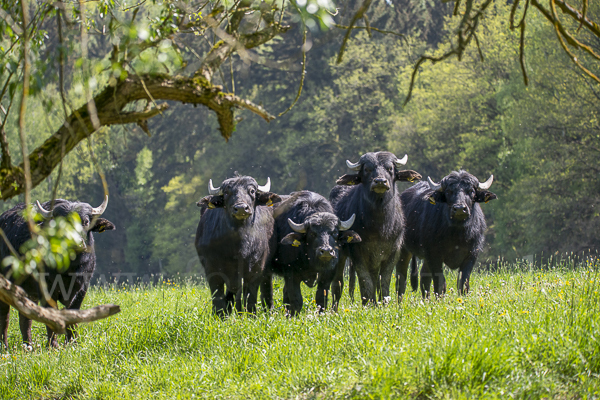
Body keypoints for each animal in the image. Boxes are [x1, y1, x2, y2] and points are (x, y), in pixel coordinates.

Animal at [0, 197, 115, 346]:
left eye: (86, 222)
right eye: (59, 224)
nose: (76, 243)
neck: (69, 269)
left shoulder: (82, 289)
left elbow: (73, 316)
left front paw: (72, 342)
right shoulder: (46, 290)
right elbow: (51, 316)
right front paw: (53, 346)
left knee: (25, 319)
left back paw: (28, 346)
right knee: (5, 317)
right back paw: (5, 346)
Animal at [196, 175, 282, 316]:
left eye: (252, 191)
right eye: (226, 192)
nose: (241, 208)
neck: (236, 247)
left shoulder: (254, 270)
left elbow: (250, 298)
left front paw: (251, 315)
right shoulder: (212, 269)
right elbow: (218, 298)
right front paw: (219, 315)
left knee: (265, 288)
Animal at [328, 152, 422, 308]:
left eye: (390, 168)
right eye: (367, 169)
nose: (380, 182)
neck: (379, 226)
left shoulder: (393, 252)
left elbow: (384, 281)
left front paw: (383, 303)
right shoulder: (358, 253)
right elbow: (366, 282)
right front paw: (368, 303)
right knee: (338, 283)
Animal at [396, 170, 500, 298]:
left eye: (471, 191)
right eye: (448, 192)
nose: (459, 208)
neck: (458, 234)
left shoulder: (471, 255)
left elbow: (463, 284)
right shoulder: (434, 255)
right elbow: (440, 284)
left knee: (424, 277)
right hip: (404, 250)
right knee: (401, 279)